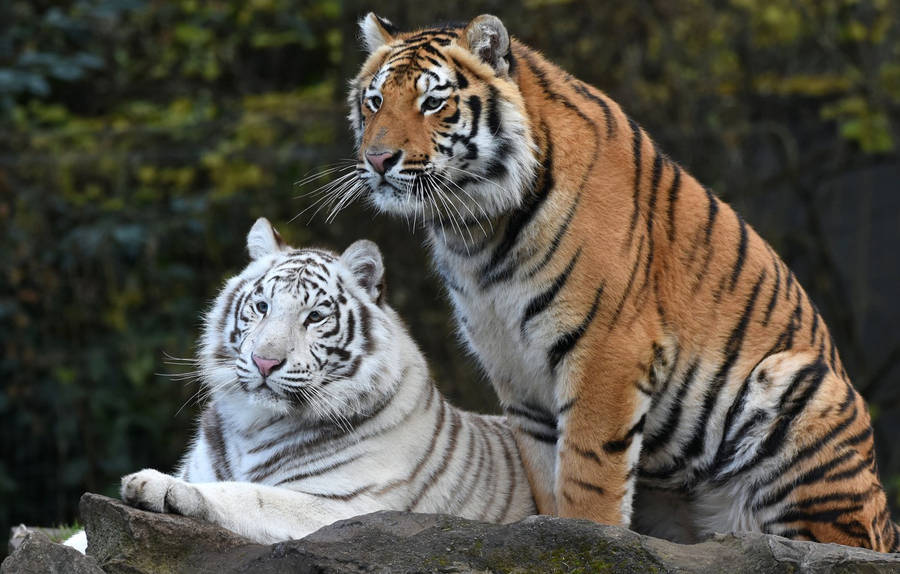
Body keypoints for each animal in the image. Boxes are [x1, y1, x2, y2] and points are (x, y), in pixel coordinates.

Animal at [112, 217, 535, 545]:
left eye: (314, 317)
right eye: (262, 306)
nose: (265, 362)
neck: (253, 426)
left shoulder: (348, 508)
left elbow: (250, 495)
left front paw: (156, 485)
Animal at [344, 13, 900, 551]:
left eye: (433, 102)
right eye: (375, 101)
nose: (377, 159)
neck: (476, 232)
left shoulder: (606, 349)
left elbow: (587, 472)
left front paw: (585, 538)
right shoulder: (515, 368)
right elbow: (547, 474)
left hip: (797, 390)